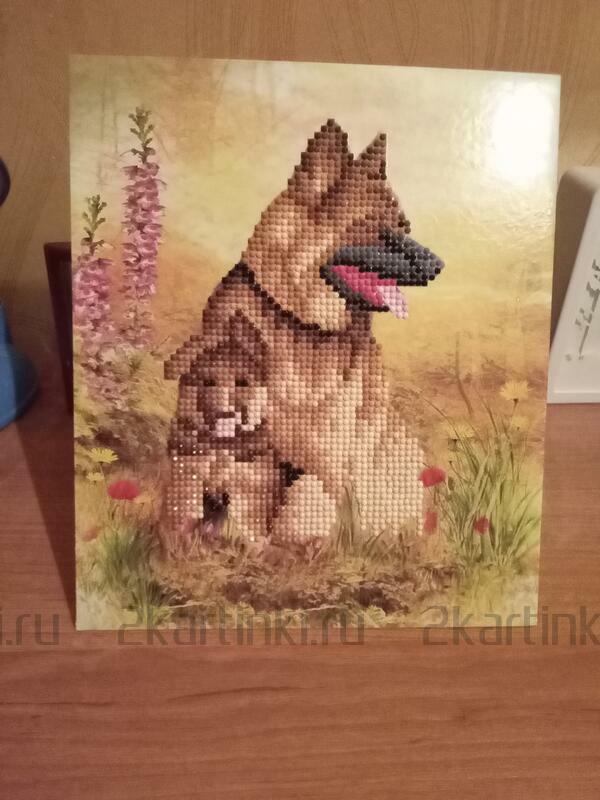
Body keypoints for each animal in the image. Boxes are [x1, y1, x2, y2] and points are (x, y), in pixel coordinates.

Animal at [165, 120, 444, 541]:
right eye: (380, 230)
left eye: (404, 227)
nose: (440, 265)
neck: (301, 323)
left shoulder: (322, 467)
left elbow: (293, 517)